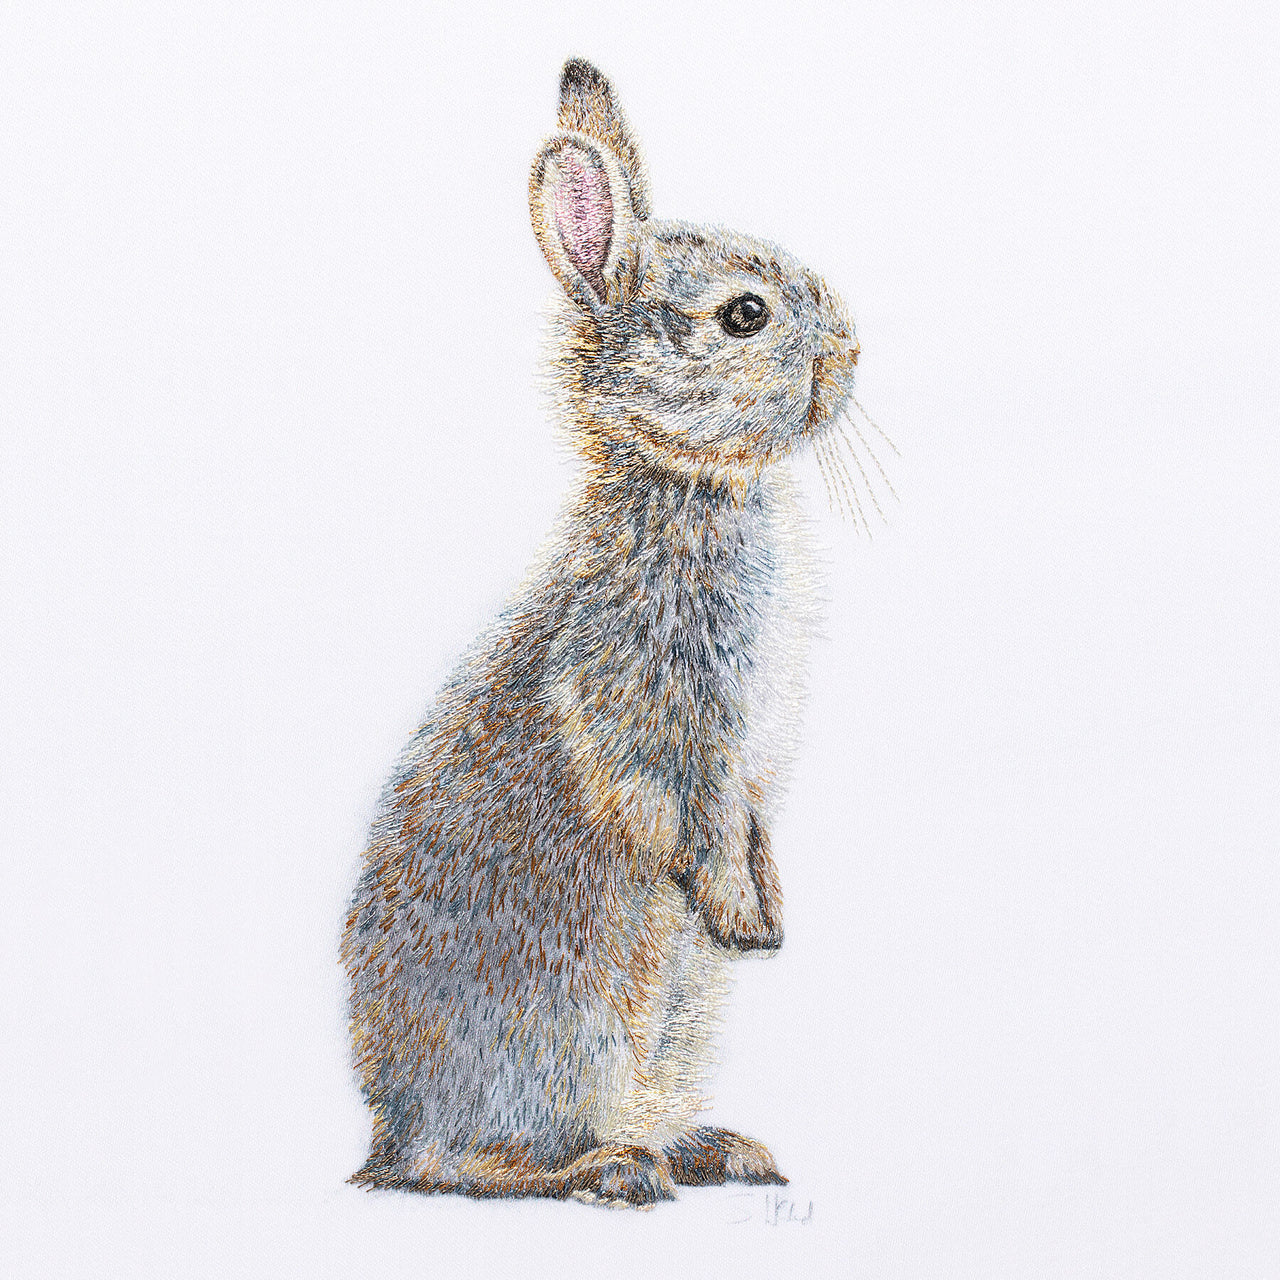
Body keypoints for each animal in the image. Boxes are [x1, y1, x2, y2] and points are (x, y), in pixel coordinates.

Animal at [342, 56, 860, 1207]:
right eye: (745, 315)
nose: (852, 352)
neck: (687, 481)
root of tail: (386, 1133)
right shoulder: (663, 701)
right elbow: (691, 813)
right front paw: (746, 923)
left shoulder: (749, 765)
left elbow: (749, 821)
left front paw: (771, 915)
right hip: (571, 1029)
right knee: (468, 1167)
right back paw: (611, 1170)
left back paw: (715, 1150)